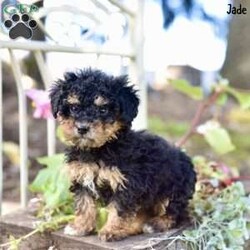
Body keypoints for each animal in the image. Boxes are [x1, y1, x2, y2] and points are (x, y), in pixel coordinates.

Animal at [49, 68, 196, 240]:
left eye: (103, 110)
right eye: (74, 108)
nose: (82, 128)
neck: (99, 149)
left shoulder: (127, 182)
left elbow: (118, 209)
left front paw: (111, 230)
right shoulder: (82, 177)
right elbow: (84, 203)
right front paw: (80, 227)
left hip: (174, 188)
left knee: (174, 212)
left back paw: (156, 224)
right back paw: (133, 227)